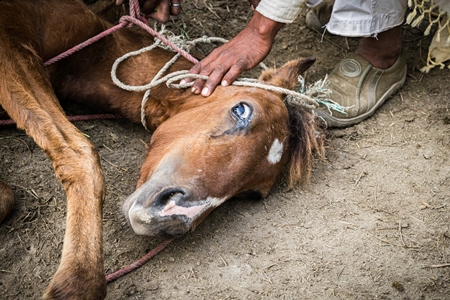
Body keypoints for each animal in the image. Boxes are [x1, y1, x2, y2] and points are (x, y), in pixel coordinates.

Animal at [0, 1, 324, 298]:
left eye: (252, 194)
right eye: (241, 110)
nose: (172, 218)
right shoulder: (10, 46)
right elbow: (77, 152)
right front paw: (76, 282)